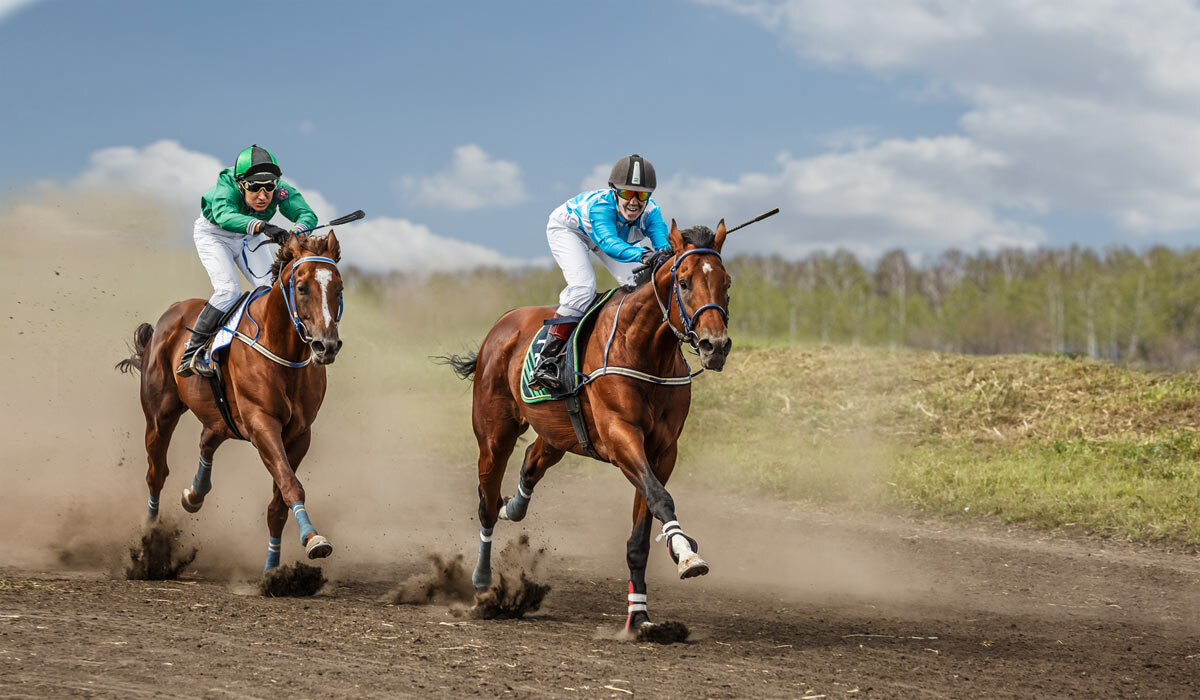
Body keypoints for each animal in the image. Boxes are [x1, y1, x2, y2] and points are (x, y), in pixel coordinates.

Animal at [116, 232, 345, 571]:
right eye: (302, 287)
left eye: (338, 287)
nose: (326, 346)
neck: (282, 349)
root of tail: (171, 313)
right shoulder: (262, 424)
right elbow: (290, 483)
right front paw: (314, 539)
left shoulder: (300, 434)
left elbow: (279, 502)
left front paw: (274, 569)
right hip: (160, 414)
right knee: (156, 472)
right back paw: (148, 544)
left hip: (220, 416)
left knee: (207, 439)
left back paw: (194, 495)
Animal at [444, 222, 729, 633]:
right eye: (685, 282)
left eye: (727, 282)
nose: (715, 346)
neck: (645, 350)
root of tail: (505, 321)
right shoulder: (621, 437)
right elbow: (661, 499)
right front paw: (686, 554)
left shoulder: (662, 451)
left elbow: (642, 532)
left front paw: (640, 617)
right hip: (494, 435)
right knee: (485, 504)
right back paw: (482, 584)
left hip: (557, 434)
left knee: (530, 463)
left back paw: (512, 507)